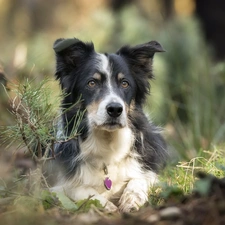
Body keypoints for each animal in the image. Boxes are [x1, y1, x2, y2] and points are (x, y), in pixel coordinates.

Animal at [49, 38, 169, 213]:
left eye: (125, 83)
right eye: (92, 83)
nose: (115, 110)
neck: (109, 141)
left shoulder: (147, 166)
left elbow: (140, 179)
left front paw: (131, 200)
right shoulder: (58, 182)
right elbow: (76, 188)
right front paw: (106, 205)